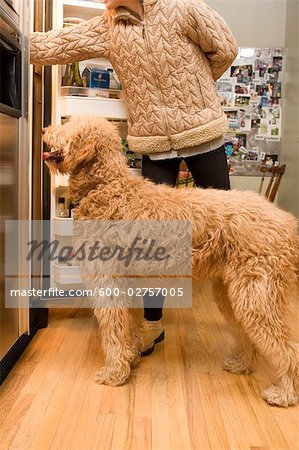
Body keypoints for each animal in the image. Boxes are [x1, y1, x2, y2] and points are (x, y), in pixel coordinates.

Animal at [43, 114, 299, 406]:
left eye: (67, 127)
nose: (45, 131)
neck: (107, 186)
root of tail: (287, 221)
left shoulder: (107, 282)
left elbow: (113, 329)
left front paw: (114, 373)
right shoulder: (127, 284)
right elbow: (126, 326)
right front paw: (130, 358)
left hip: (257, 296)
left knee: (288, 349)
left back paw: (284, 392)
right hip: (234, 294)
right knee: (247, 334)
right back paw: (241, 364)